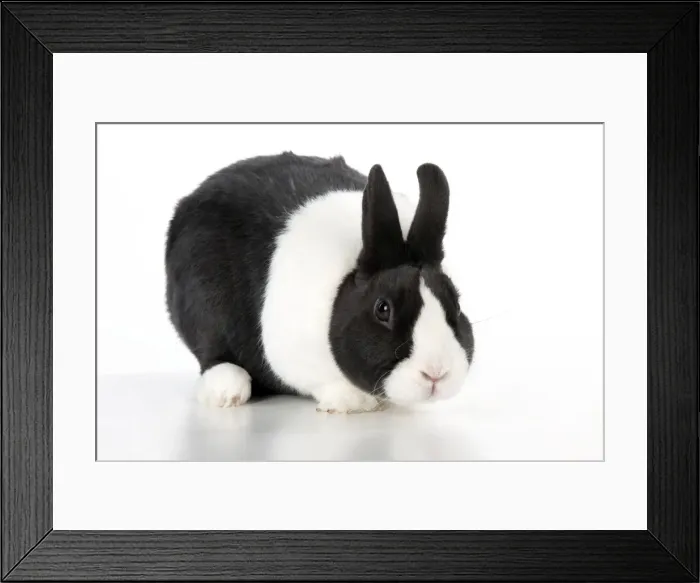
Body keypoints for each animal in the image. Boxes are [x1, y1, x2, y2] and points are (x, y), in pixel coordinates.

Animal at [165, 152, 474, 413]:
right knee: (212, 353)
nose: (436, 373)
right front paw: (353, 402)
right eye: (382, 309)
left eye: (456, 305)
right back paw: (228, 392)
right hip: (202, 308)